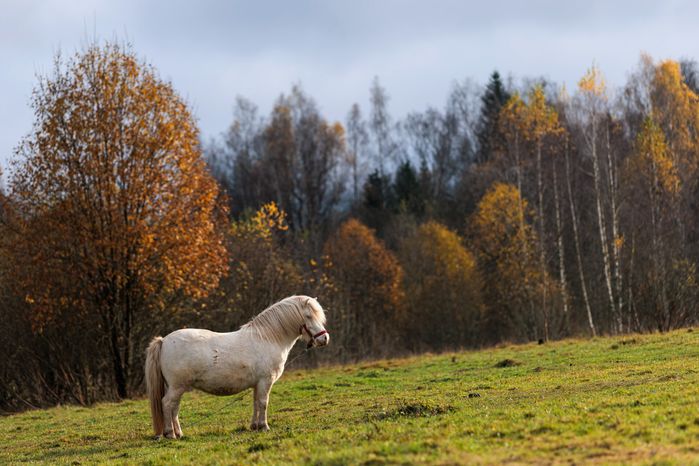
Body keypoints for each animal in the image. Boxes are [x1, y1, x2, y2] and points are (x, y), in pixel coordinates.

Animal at [144, 295, 330, 439]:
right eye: (308, 316)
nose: (324, 339)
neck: (268, 339)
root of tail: (164, 340)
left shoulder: (257, 383)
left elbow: (256, 403)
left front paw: (255, 426)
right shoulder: (265, 381)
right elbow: (263, 403)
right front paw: (264, 426)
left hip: (178, 387)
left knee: (174, 407)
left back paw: (179, 433)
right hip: (177, 386)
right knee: (167, 404)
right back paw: (170, 434)